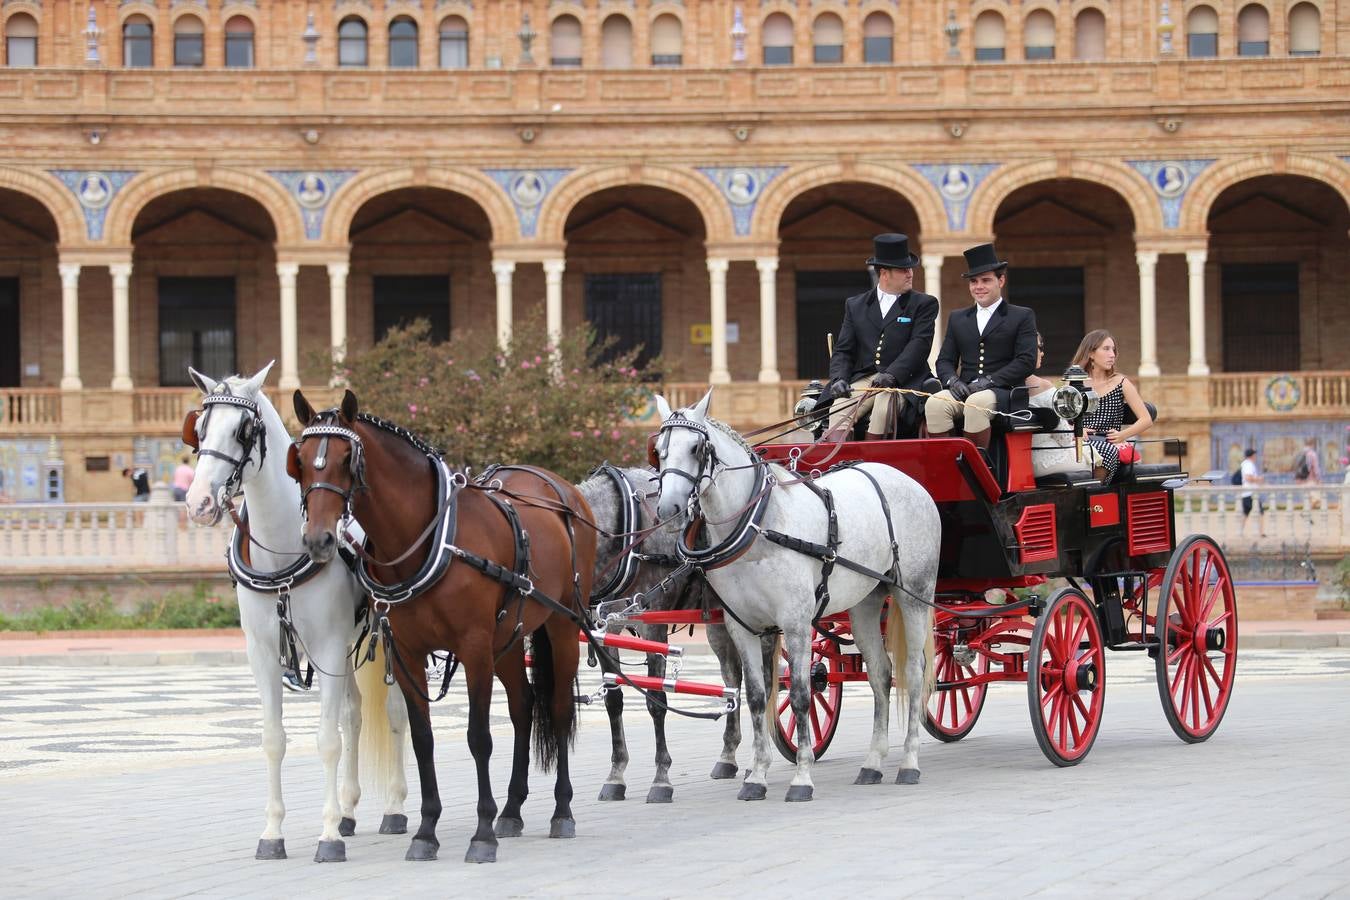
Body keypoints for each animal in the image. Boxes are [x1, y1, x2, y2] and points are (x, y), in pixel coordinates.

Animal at [183, 361, 405, 863]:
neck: (282, 554)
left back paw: (395, 808)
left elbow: (326, 741)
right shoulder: (263, 654)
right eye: (199, 429)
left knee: (396, 713)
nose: (198, 502)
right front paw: (273, 833)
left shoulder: (326, 646)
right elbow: (273, 740)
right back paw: (348, 811)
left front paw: (327, 837)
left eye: (243, 430)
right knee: (354, 715)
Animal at [290, 391, 596, 863]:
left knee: (560, 708)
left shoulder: (474, 648)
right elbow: (422, 739)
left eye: (347, 459)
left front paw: (482, 833)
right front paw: (426, 831)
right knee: (523, 706)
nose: (318, 540)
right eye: (301, 461)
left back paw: (561, 810)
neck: (428, 539)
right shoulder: (408, 651)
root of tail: (564, 489)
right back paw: (512, 809)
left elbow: (479, 737)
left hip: (562, 625)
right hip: (507, 640)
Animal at [653, 391, 939, 798]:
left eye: (696, 448)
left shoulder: (796, 623)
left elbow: (802, 694)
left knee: (914, 673)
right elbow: (757, 697)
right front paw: (756, 777)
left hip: (915, 594)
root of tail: (908, 481)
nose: (669, 509)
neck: (759, 525)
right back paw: (872, 763)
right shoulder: (743, 627)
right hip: (866, 603)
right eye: (659, 451)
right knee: (881, 674)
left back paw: (909, 762)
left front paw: (802, 777)